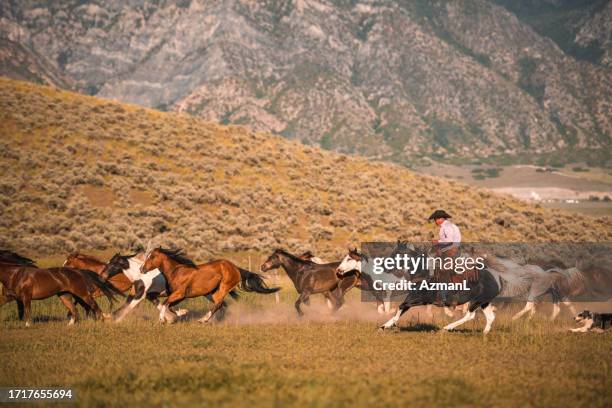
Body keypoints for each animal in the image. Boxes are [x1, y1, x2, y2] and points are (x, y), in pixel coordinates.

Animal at [141, 247, 280, 324]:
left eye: (152, 257)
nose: (142, 269)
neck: (176, 272)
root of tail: (235, 268)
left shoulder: (179, 294)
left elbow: (166, 303)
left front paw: (161, 320)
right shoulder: (179, 295)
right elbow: (169, 306)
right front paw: (183, 312)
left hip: (223, 287)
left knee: (219, 304)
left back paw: (204, 319)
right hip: (213, 292)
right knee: (222, 305)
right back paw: (214, 320)